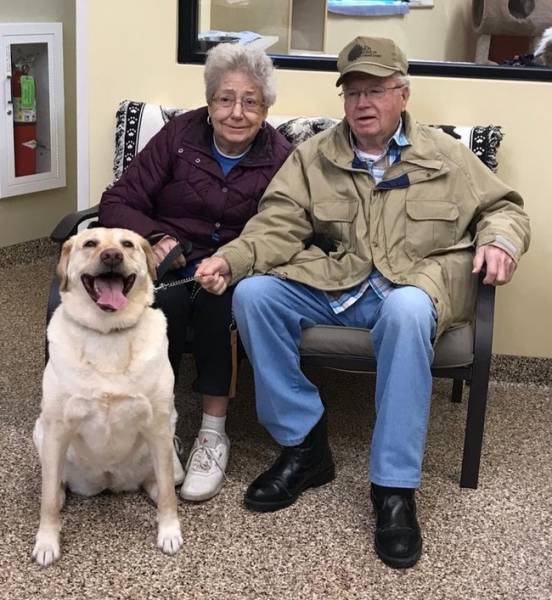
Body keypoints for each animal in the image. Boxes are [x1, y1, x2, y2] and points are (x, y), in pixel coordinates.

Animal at [33, 226, 184, 568]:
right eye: (90, 243)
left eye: (127, 244)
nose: (112, 255)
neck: (107, 333)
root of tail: (109, 480)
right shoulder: (57, 429)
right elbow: (46, 501)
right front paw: (47, 541)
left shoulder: (158, 426)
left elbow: (169, 495)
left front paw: (169, 530)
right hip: (41, 433)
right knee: (55, 482)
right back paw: (60, 492)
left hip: (168, 443)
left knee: (162, 481)